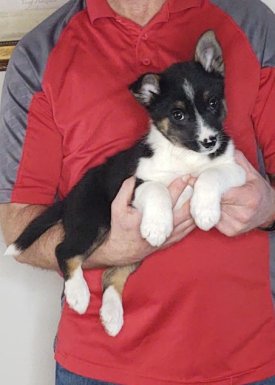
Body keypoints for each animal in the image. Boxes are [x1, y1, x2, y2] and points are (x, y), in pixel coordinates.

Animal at [4, 30, 246, 336]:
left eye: (213, 103)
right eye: (178, 115)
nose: (210, 141)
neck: (186, 156)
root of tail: (70, 198)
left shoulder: (234, 169)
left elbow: (210, 175)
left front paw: (204, 211)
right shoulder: (136, 184)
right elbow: (157, 189)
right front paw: (158, 225)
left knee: (111, 274)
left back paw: (111, 314)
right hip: (94, 221)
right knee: (65, 251)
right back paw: (79, 295)